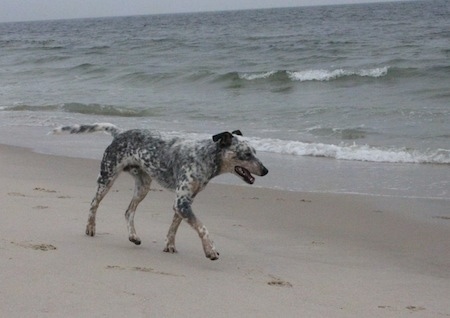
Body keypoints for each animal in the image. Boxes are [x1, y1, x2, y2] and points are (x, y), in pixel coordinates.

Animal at [54, 123, 268, 260]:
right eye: (246, 154)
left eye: (255, 152)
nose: (266, 170)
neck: (205, 157)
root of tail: (120, 133)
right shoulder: (182, 202)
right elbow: (202, 227)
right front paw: (210, 250)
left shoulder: (184, 201)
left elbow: (174, 226)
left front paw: (170, 245)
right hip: (107, 177)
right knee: (94, 203)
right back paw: (90, 227)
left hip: (143, 185)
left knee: (128, 211)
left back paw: (133, 236)